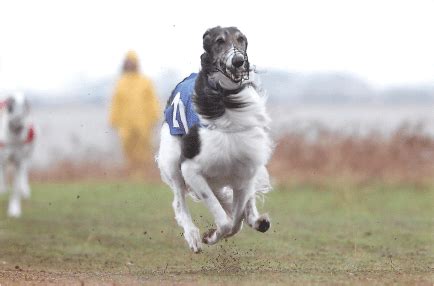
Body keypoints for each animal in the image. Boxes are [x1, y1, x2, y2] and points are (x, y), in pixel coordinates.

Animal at [156, 25, 272, 251]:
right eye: (219, 41)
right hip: (173, 159)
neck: (225, 98)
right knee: (179, 202)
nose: (238, 61)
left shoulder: (244, 167)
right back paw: (192, 236)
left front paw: (218, 232)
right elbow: (227, 222)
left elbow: (235, 220)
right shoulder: (191, 168)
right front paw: (208, 236)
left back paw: (256, 219)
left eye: (241, 39)